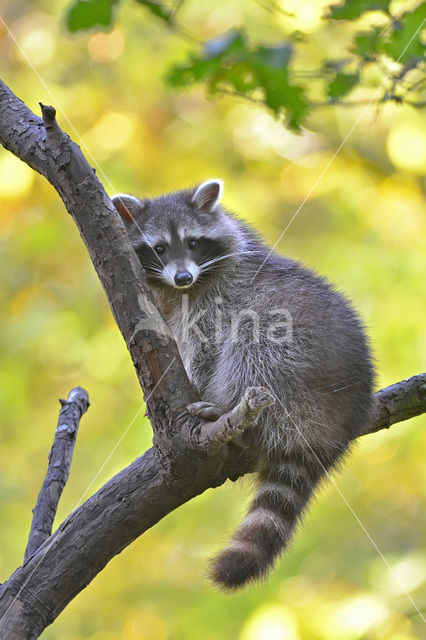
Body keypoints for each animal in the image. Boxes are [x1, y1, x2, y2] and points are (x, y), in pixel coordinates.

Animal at [111, 179, 374, 592]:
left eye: (193, 243)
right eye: (159, 248)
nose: (182, 277)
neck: (188, 286)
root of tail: (337, 423)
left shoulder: (219, 298)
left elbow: (208, 347)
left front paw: (199, 388)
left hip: (297, 370)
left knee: (253, 343)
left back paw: (224, 407)